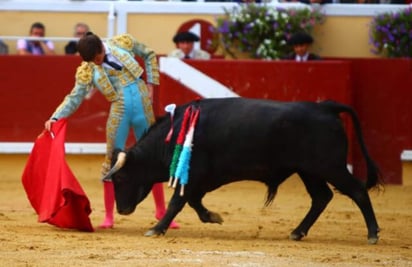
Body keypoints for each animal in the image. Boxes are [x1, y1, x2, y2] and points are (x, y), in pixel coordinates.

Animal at [104, 98, 382, 245]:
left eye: (121, 177)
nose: (122, 209)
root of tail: (325, 107)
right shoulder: (201, 180)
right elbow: (193, 202)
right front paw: (213, 216)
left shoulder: (193, 177)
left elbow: (177, 203)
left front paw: (156, 228)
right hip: (309, 171)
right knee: (322, 197)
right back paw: (297, 232)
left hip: (330, 167)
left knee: (357, 190)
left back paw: (372, 234)